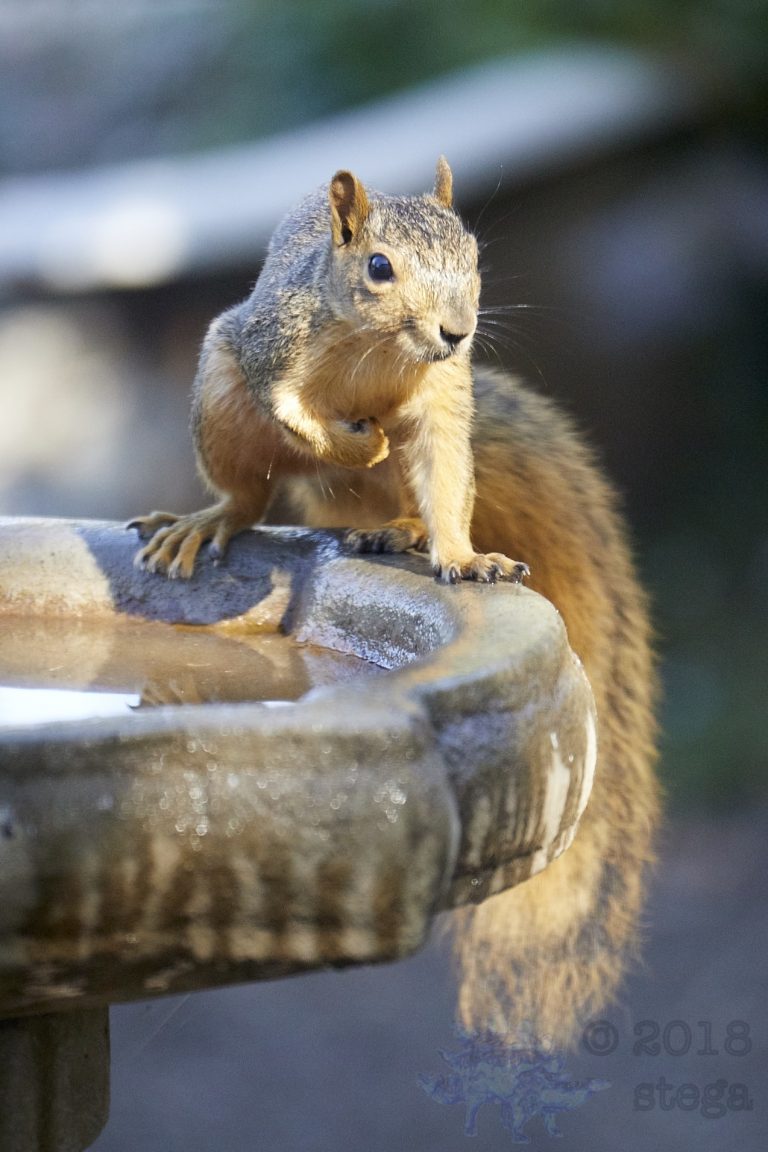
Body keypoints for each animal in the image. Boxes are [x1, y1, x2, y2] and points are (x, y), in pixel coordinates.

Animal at [130, 158, 658, 1044]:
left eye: (476, 257)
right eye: (378, 267)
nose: (456, 331)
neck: (374, 352)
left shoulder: (442, 403)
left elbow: (444, 480)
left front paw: (463, 556)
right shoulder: (272, 350)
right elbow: (298, 413)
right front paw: (356, 436)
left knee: (409, 498)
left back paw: (401, 531)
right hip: (223, 402)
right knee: (251, 492)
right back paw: (218, 519)